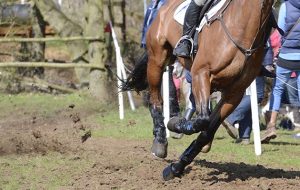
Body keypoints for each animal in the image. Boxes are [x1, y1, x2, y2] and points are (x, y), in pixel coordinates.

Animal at [121, 0, 274, 180]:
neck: (243, 28)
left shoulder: (234, 92)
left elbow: (207, 129)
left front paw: (176, 167)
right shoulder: (201, 74)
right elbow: (202, 120)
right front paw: (176, 124)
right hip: (157, 60)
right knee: (155, 100)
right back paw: (160, 141)